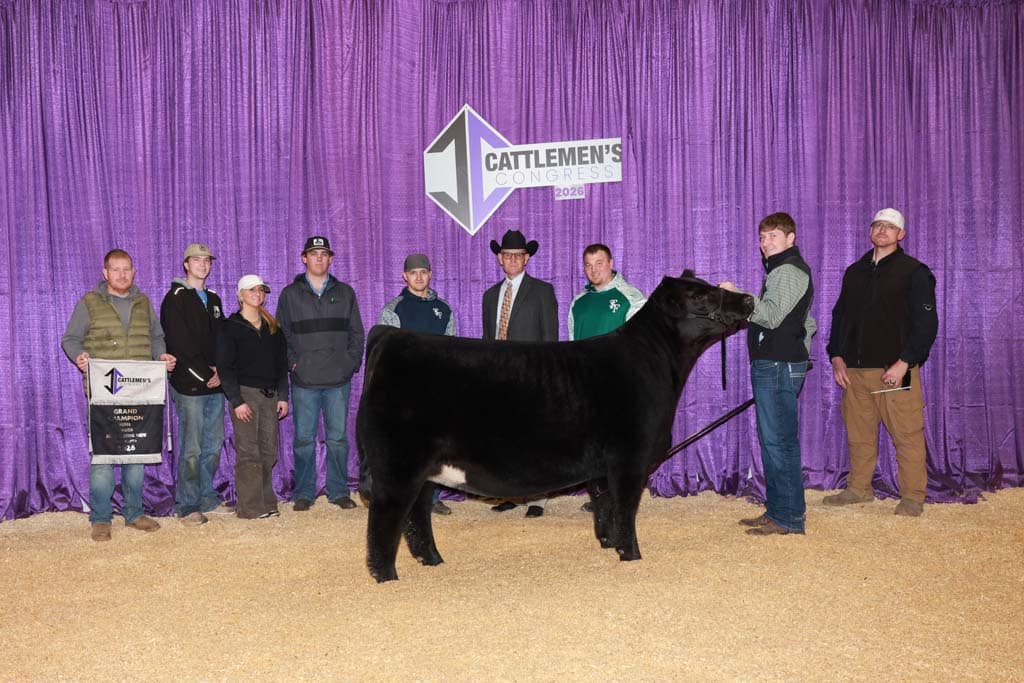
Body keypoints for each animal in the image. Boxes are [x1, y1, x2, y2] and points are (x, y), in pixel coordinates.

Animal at [356, 271, 755, 582]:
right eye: (700, 295)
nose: (749, 298)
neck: (656, 364)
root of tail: (389, 337)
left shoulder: (603, 466)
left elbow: (605, 506)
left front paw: (608, 544)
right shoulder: (630, 458)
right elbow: (626, 510)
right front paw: (631, 555)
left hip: (425, 469)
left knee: (417, 516)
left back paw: (432, 561)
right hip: (398, 465)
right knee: (384, 521)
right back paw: (387, 577)